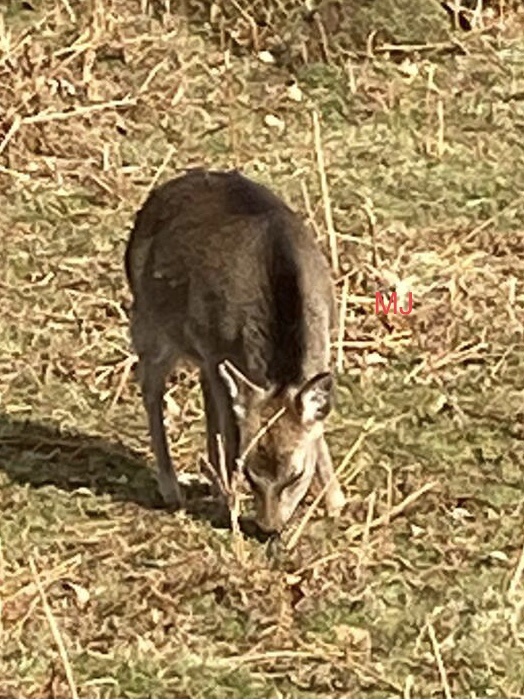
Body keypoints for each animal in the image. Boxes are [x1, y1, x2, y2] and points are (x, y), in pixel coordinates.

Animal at [124, 168, 346, 535]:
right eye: (251, 474)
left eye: (295, 476)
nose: (269, 527)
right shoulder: (217, 352)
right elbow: (229, 428)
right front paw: (229, 497)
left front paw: (336, 501)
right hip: (149, 325)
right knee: (151, 390)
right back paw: (174, 488)